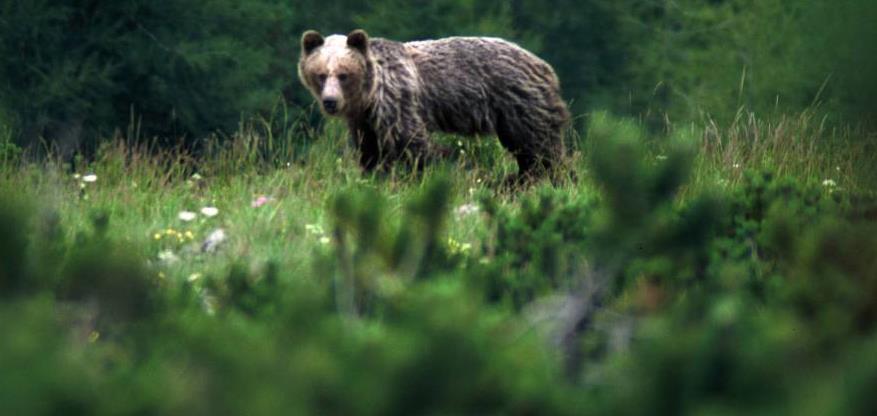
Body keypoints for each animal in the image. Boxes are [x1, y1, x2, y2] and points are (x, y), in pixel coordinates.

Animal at [296, 29, 568, 177]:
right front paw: (372, 175)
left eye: (343, 74)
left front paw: (418, 175)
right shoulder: (365, 120)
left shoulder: (397, 101)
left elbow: (410, 143)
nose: (330, 102)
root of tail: (545, 65)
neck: (369, 95)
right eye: (321, 74)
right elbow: (370, 151)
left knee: (539, 148)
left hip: (518, 104)